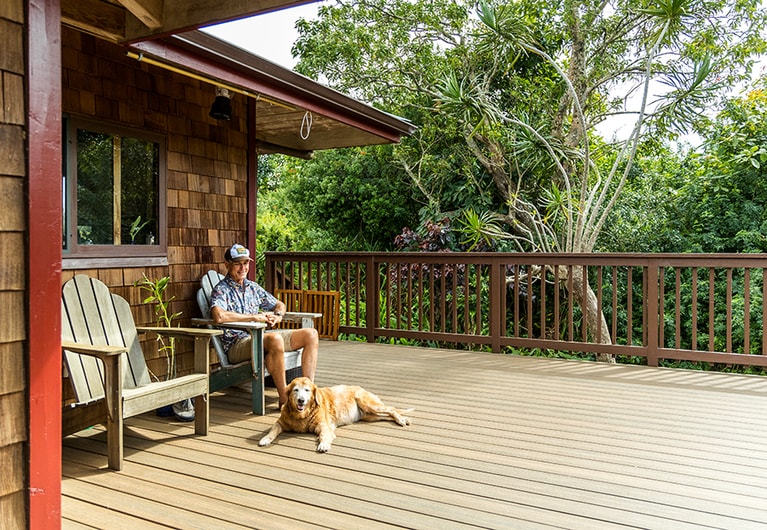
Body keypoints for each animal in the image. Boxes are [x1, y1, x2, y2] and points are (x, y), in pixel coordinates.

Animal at [258, 376, 414, 450]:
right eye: (296, 390)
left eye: (307, 390)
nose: (301, 400)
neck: (301, 416)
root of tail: (361, 387)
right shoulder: (280, 422)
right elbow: (272, 431)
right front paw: (265, 439)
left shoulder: (324, 426)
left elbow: (323, 436)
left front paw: (323, 445)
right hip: (369, 416)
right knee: (387, 415)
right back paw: (403, 419)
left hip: (369, 404)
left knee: (391, 409)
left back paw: (402, 419)